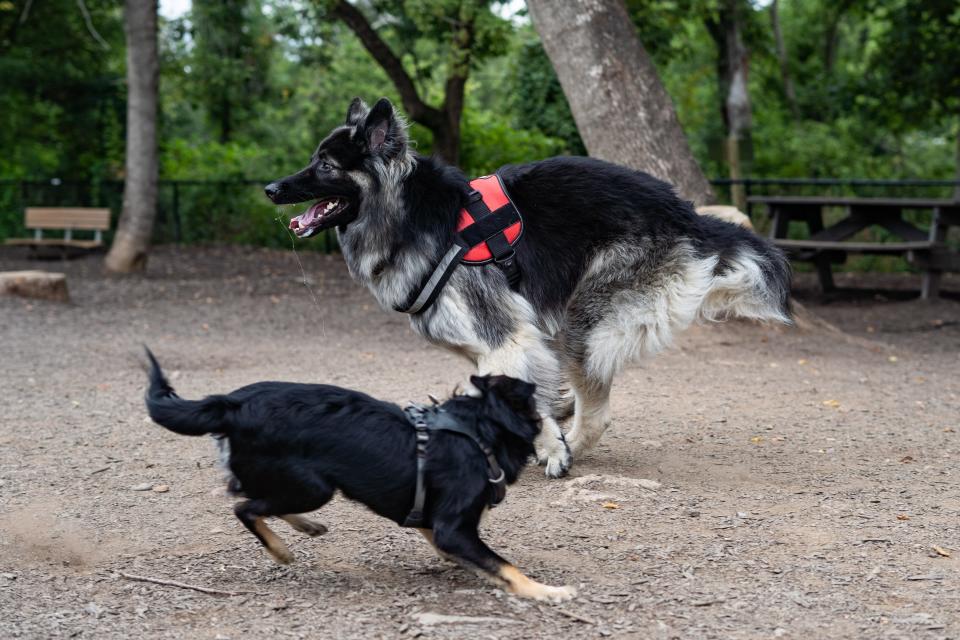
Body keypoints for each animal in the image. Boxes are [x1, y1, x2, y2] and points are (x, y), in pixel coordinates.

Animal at [143, 348, 576, 604]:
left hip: (300, 484)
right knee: (245, 507)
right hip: (312, 486)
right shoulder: (454, 525)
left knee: (251, 497)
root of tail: (232, 402)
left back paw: (307, 527)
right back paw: (282, 549)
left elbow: (449, 543)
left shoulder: (432, 518)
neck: (480, 433)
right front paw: (546, 591)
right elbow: (503, 565)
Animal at [262, 99, 788, 480]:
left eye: (325, 165)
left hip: (581, 323)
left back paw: (571, 442)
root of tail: (688, 215)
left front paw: (552, 448)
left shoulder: (507, 336)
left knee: (596, 408)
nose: (269, 189)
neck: (413, 217)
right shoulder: (495, 346)